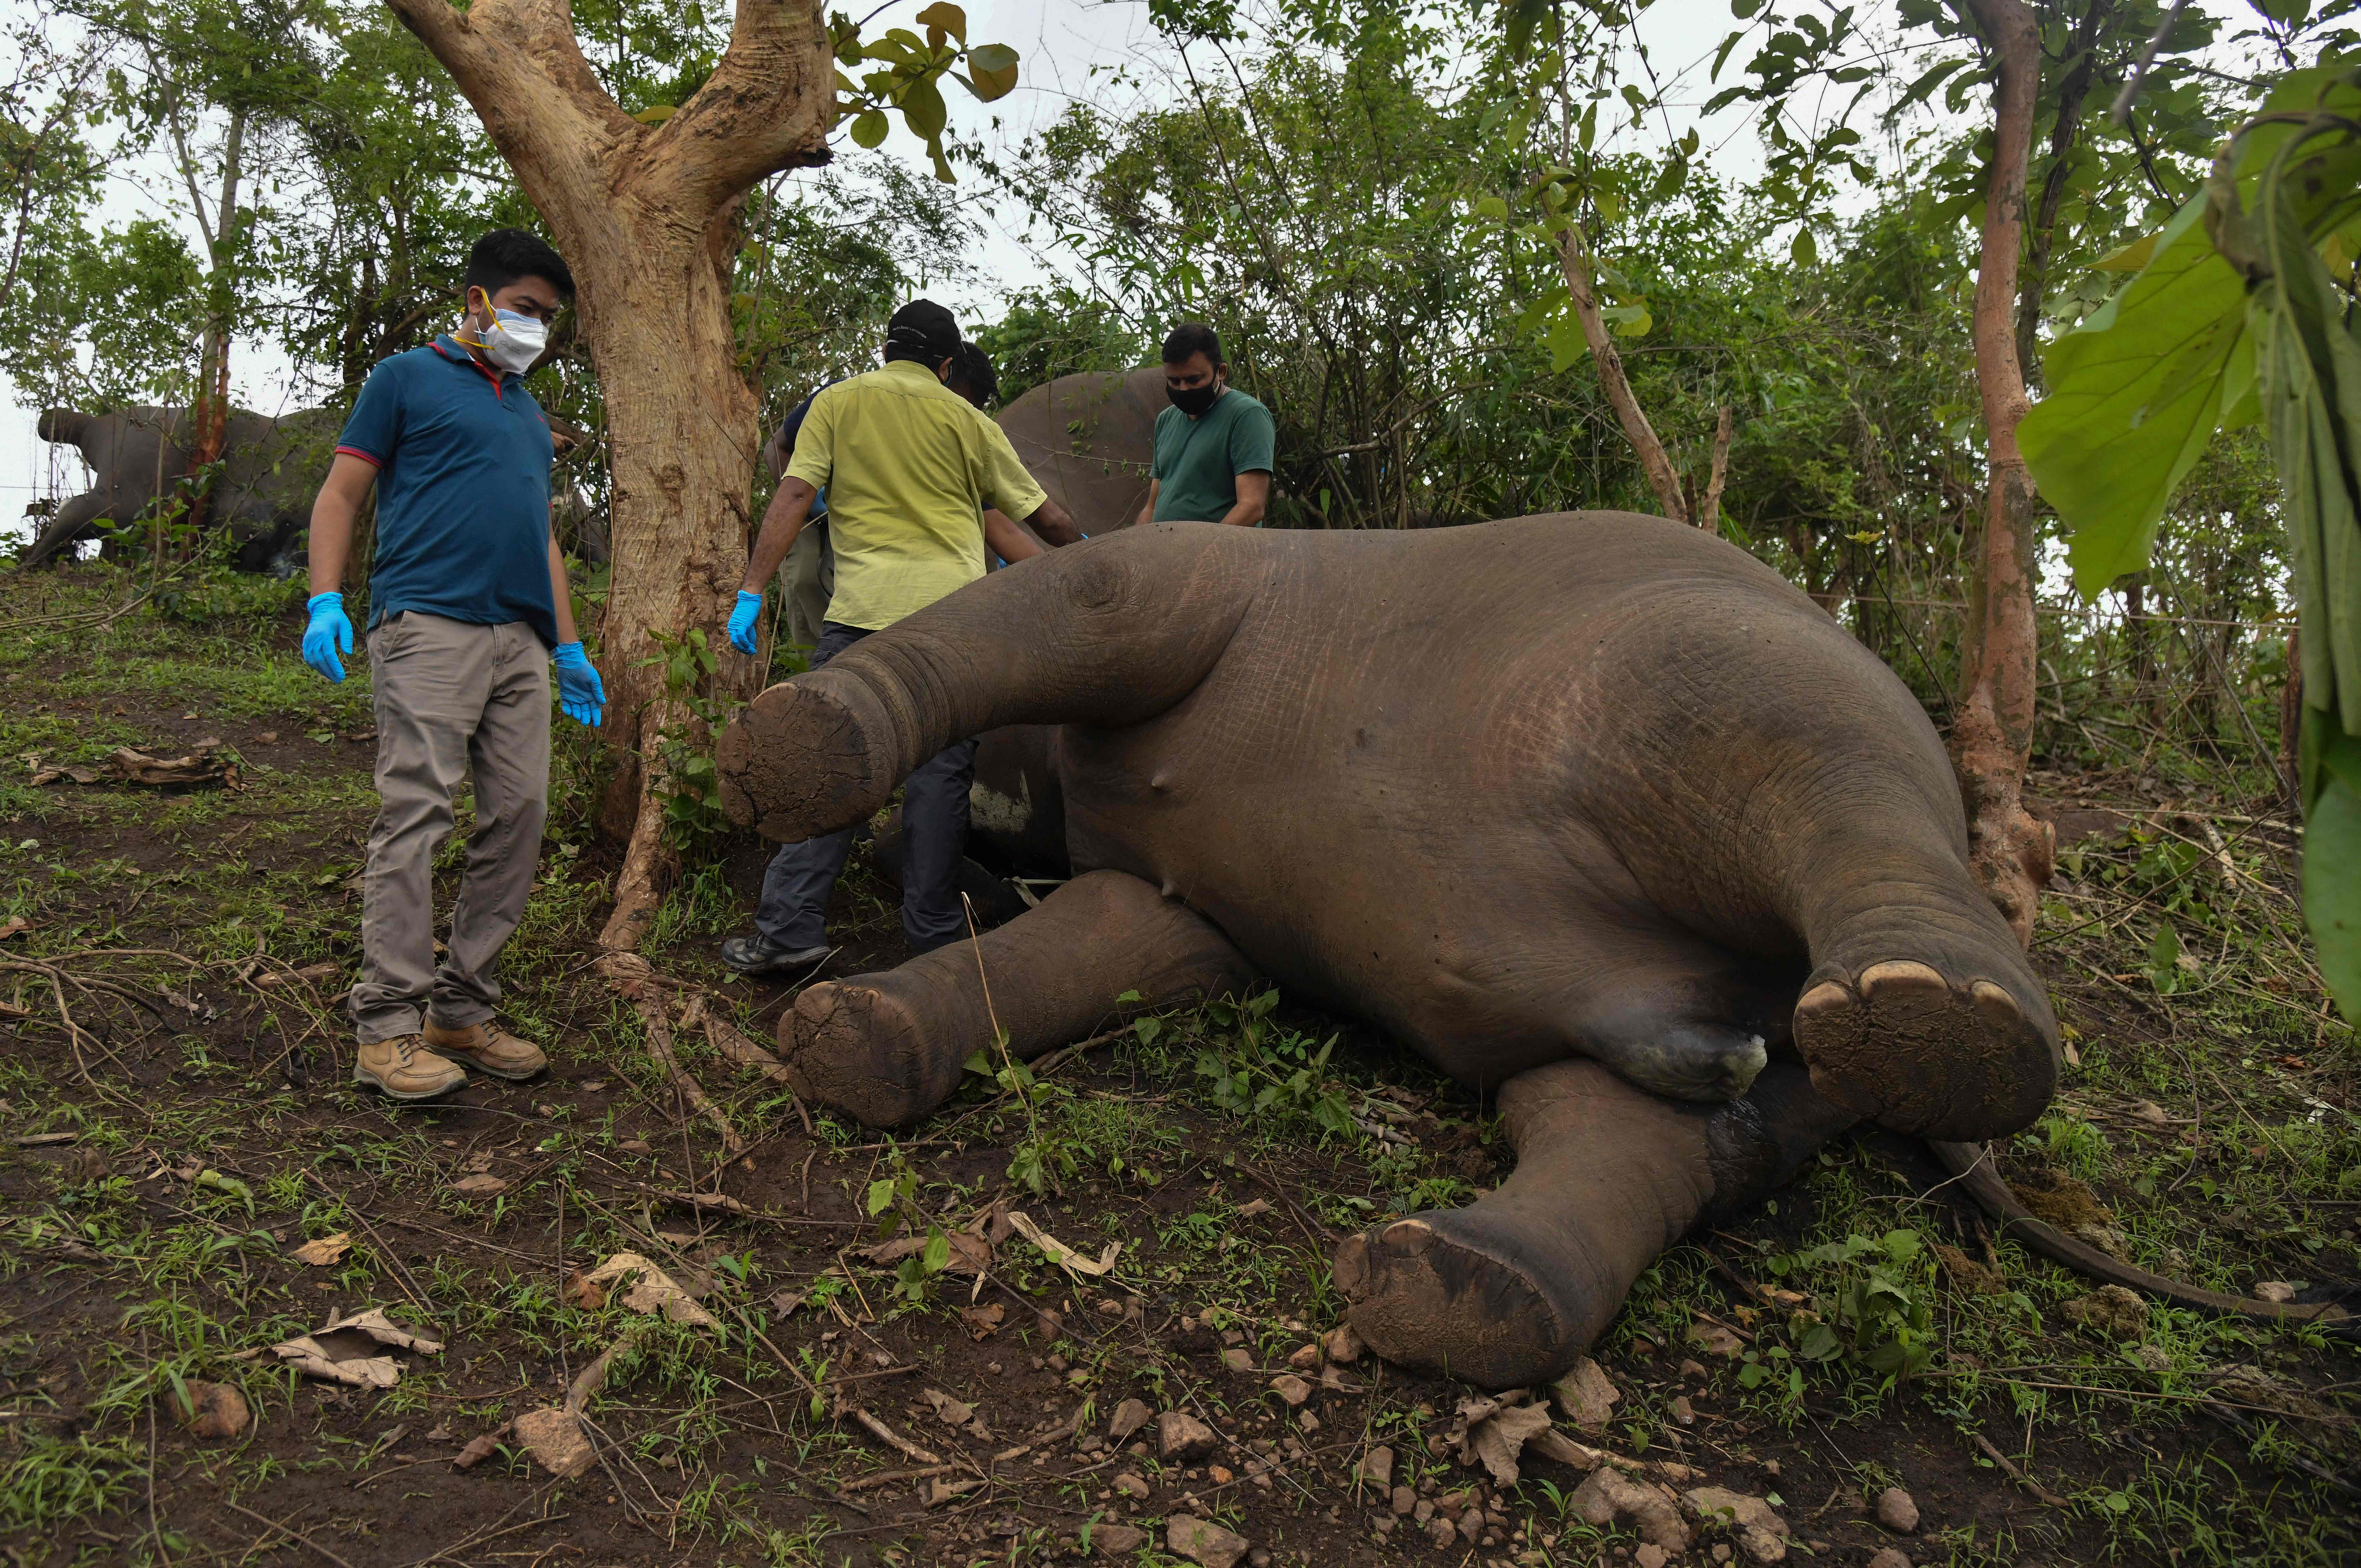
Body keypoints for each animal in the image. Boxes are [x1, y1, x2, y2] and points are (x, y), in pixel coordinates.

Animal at [712, 514, 2063, 1389]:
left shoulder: (1205, 564)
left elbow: (1100, 598)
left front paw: (789, 749)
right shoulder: (1197, 906)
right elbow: (1132, 938)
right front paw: (859, 1039)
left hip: (1722, 666)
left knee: (1792, 746)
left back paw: (1937, 1022)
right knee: (1643, 1119)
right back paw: (1465, 1292)